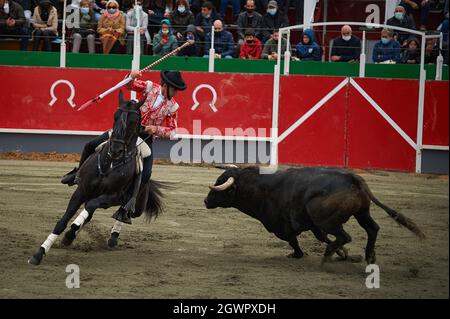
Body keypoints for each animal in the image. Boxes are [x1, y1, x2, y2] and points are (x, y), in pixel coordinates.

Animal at [29, 91, 164, 266]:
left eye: (134, 121)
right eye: (115, 116)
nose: (116, 150)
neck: (110, 164)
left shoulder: (113, 197)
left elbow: (90, 207)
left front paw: (71, 231)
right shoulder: (81, 190)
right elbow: (62, 222)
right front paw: (39, 253)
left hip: (138, 206)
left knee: (120, 211)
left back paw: (113, 236)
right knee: (89, 213)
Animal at [205, 168, 426, 264]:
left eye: (219, 185)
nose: (206, 201)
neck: (262, 188)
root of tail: (352, 178)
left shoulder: (281, 227)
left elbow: (294, 241)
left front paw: (297, 254)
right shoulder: (311, 224)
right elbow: (321, 237)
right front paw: (345, 254)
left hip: (327, 219)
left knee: (344, 235)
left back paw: (327, 257)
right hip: (361, 213)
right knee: (372, 229)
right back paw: (368, 256)